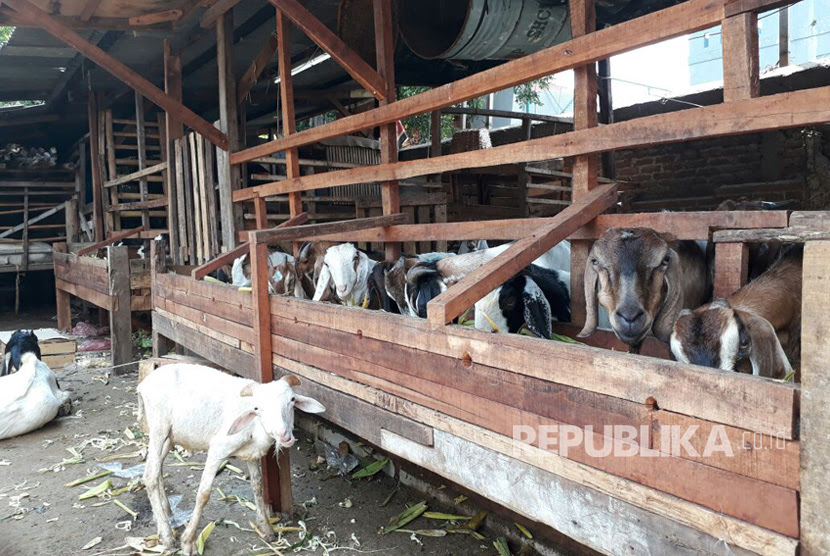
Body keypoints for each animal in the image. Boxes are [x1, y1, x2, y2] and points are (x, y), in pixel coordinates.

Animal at [138, 364, 324, 556]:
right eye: (257, 408)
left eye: (292, 400)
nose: (283, 435)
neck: (255, 427)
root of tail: (144, 384)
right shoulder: (217, 449)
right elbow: (203, 494)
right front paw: (188, 541)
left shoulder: (252, 454)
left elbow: (258, 487)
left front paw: (266, 529)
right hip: (158, 428)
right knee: (150, 476)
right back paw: (167, 536)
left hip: (171, 436)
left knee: (157, 468)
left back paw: (167, 513)